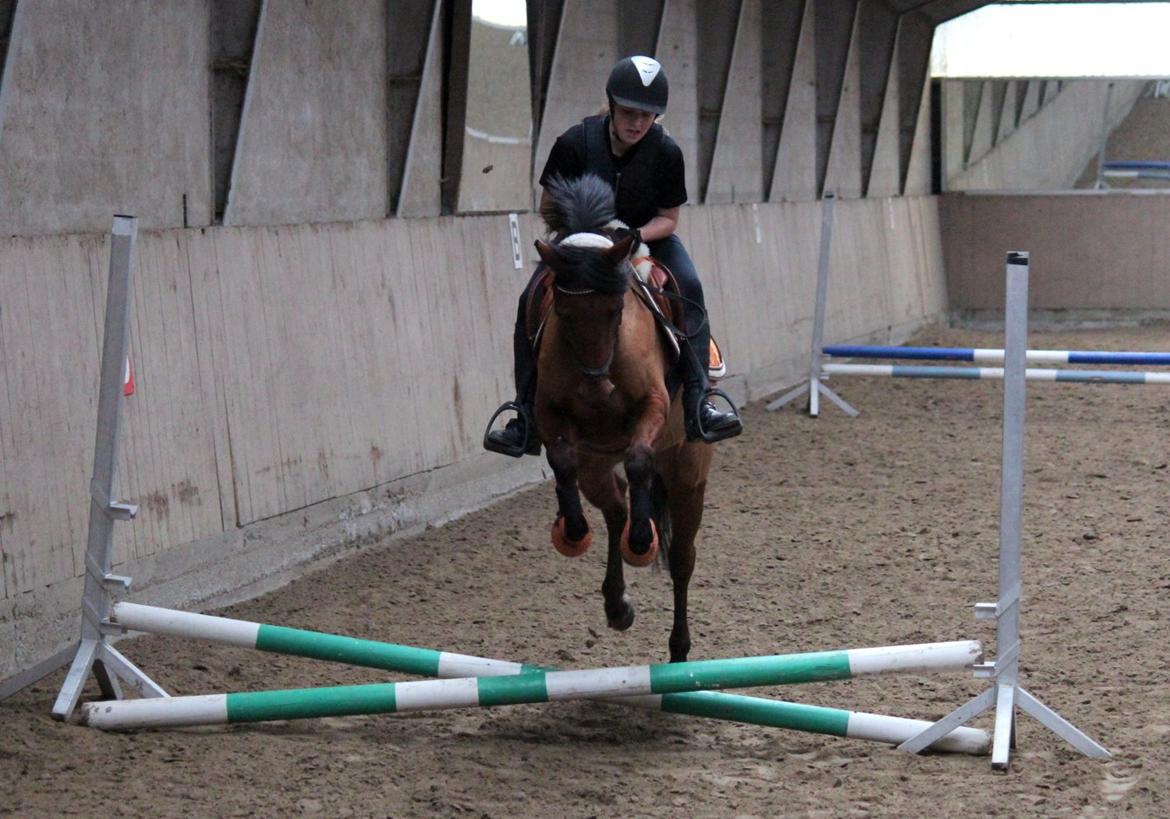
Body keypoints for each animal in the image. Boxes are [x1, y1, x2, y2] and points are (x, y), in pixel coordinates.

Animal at [531, 174, 711, 664]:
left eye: (615, 310)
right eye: (563, 311)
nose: (597, 393)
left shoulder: (653, 405)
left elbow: (638, 460)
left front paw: (643, 543)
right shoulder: (549, 413)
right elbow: (562, 460)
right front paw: (573, 532)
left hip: (688, 471)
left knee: (682, 557)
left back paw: (678, 647)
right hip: (595, 464)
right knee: (615, 507)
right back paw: (617, 604)